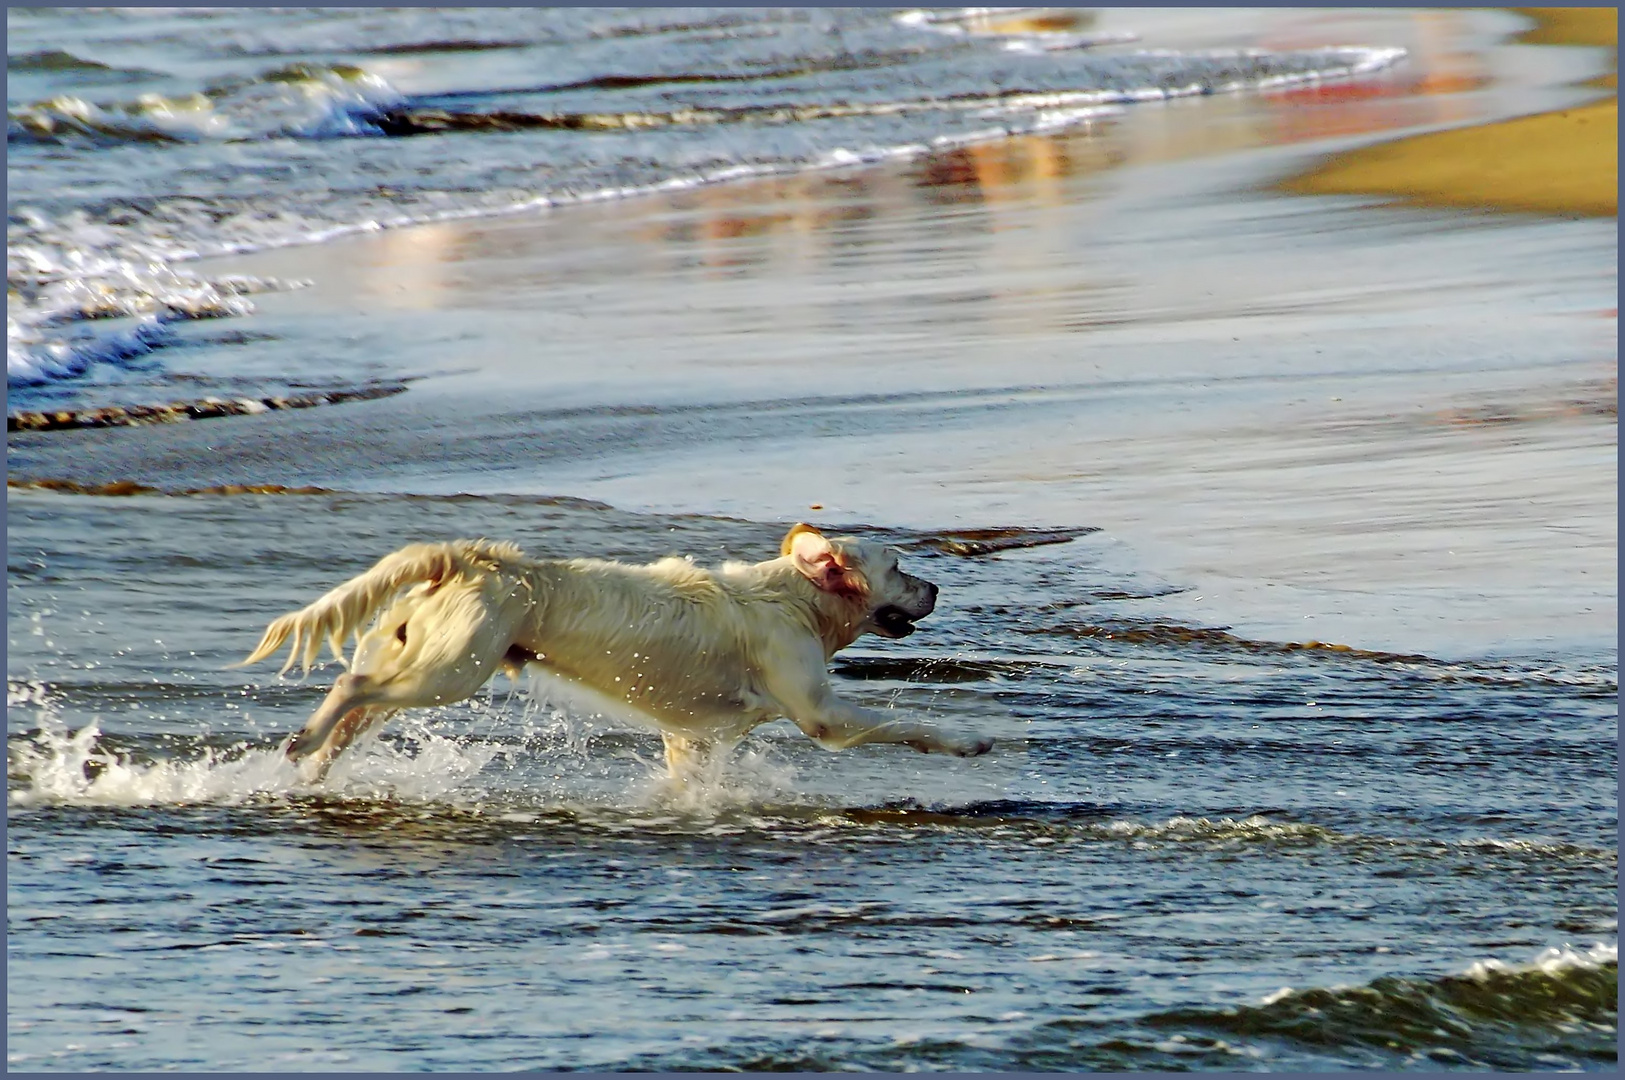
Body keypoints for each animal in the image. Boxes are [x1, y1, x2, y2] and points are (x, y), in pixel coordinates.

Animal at [243, 519, 988, 779]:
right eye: (899, 566)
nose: (938, 588)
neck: (795, 601)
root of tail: (471, 557)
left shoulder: (692, 736)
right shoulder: (822, 715)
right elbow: (900, 722)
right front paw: (969, 741)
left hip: (424, 660)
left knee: (361, 707)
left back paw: (317, 765)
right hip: (450, 671)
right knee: (351, 691)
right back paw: (306, 746)